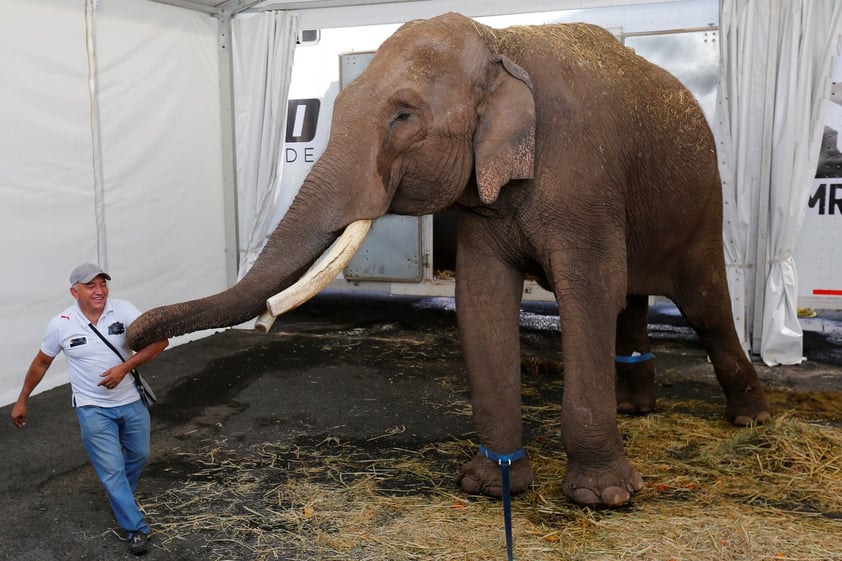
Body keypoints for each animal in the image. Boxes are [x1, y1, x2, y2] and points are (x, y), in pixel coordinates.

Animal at [130, 13, 768, 506]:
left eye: (403, 117)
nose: (130, 336)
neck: (502, 43)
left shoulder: (582, 176)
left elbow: (588, 295)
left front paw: (603, 497)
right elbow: (482, 300)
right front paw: (491, 485)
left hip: (703, 206)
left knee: (704, 305)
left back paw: (749, 418)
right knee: (632, 302)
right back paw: (637, 409)